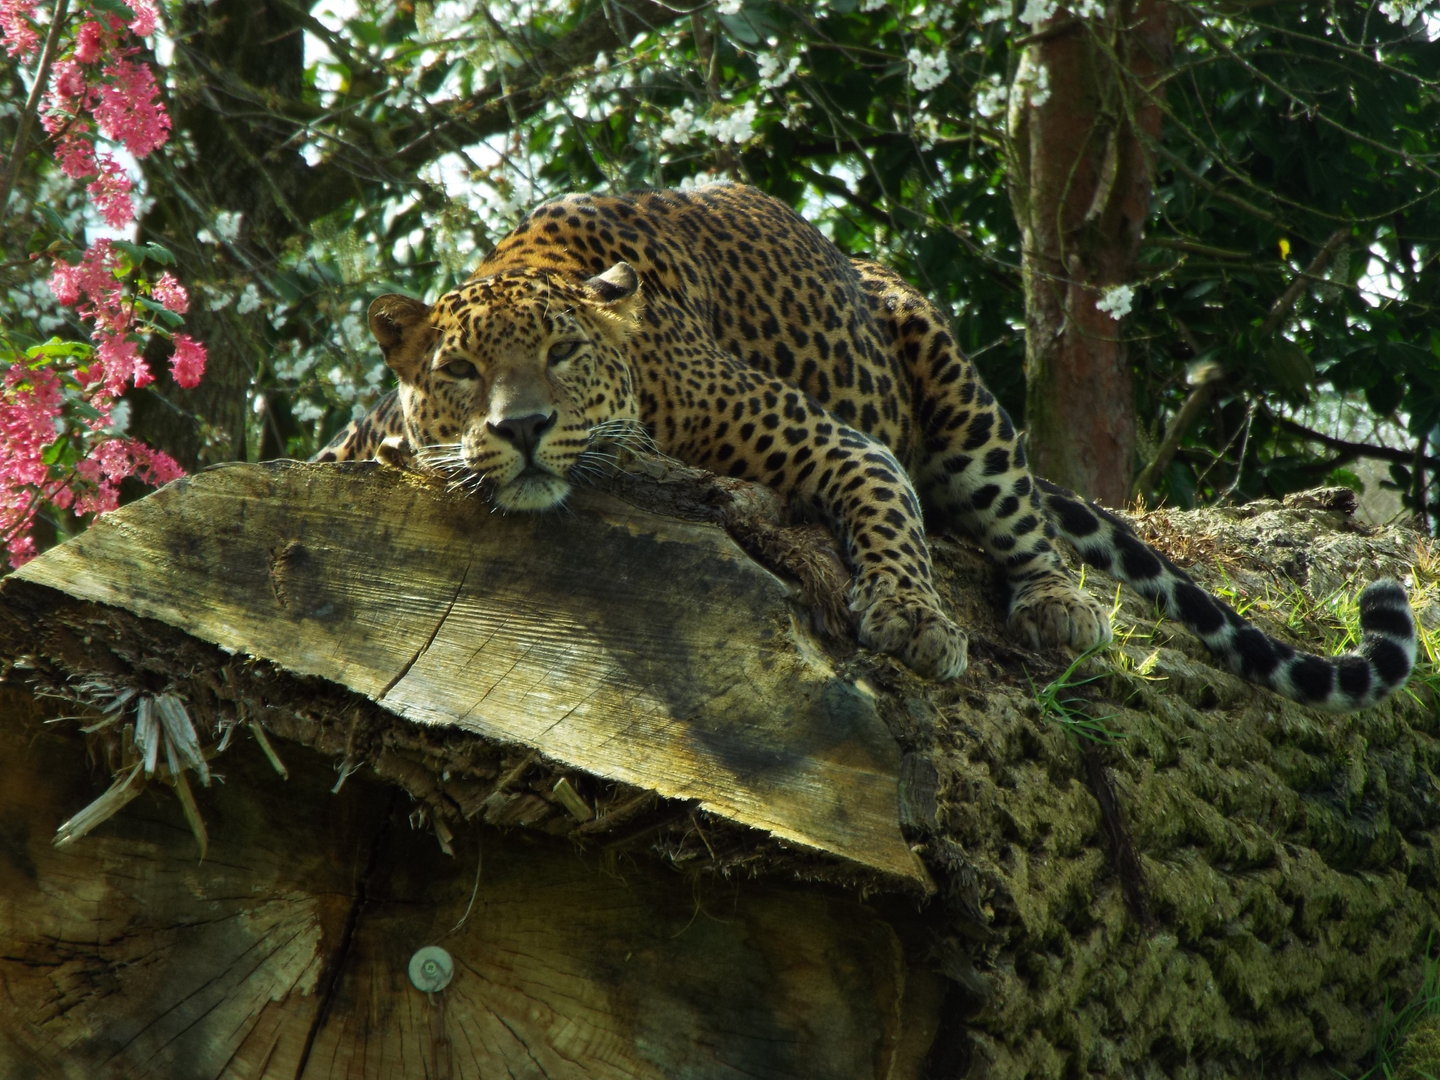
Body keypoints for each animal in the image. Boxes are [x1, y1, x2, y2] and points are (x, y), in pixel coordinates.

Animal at [316, 182, 1416, 712]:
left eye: (563, 352)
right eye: (461, 371)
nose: (524, 429)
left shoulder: (835, 439)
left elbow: (891, 515)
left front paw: (913, 618)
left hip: (941, 363)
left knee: (1014, 508)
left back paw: (1055, 602)